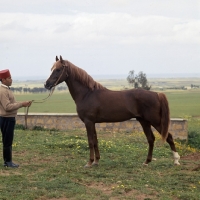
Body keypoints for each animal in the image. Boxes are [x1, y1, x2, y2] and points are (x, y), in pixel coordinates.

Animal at [44, 55, 180, 167]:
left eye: (58, 69)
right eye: (52, 69)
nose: (46, 84)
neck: (87, 94)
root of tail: (157, 94)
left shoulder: (88, 122)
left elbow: (90, 141)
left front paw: (89, 162)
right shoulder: (92, 123)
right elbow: (95, 141)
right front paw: (97, 161)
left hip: (155, 121)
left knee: (169, 137)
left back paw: (176, 160)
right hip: (144, 121)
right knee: (151, 139)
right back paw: (146, 162)